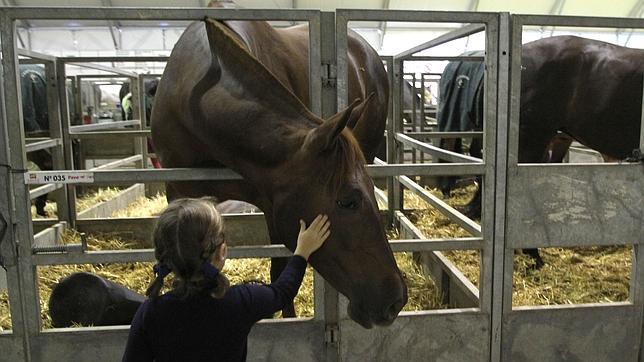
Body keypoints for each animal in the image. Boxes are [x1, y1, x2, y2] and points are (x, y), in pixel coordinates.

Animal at [150, 16, 408, 328]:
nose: (395, 299)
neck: (195, 97)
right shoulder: (176, 192)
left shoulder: (271, 204)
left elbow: (280, 269)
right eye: (348, 200)